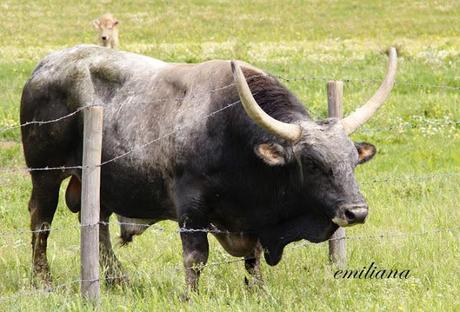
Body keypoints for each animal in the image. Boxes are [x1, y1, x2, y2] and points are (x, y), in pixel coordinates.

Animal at [19, 44, 398, 290]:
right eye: (313, 163)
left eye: (353, 160)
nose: (357, 212)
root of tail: (45, 64)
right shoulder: (191, 207)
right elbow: (195, 256)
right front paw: (191, 296)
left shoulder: (250, 218)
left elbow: (253, 257)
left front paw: (257, 291)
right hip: (45, 174)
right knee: (41, 221)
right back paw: (43, 280)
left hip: (99, 183)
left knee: (96, 222)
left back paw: (116, 279)